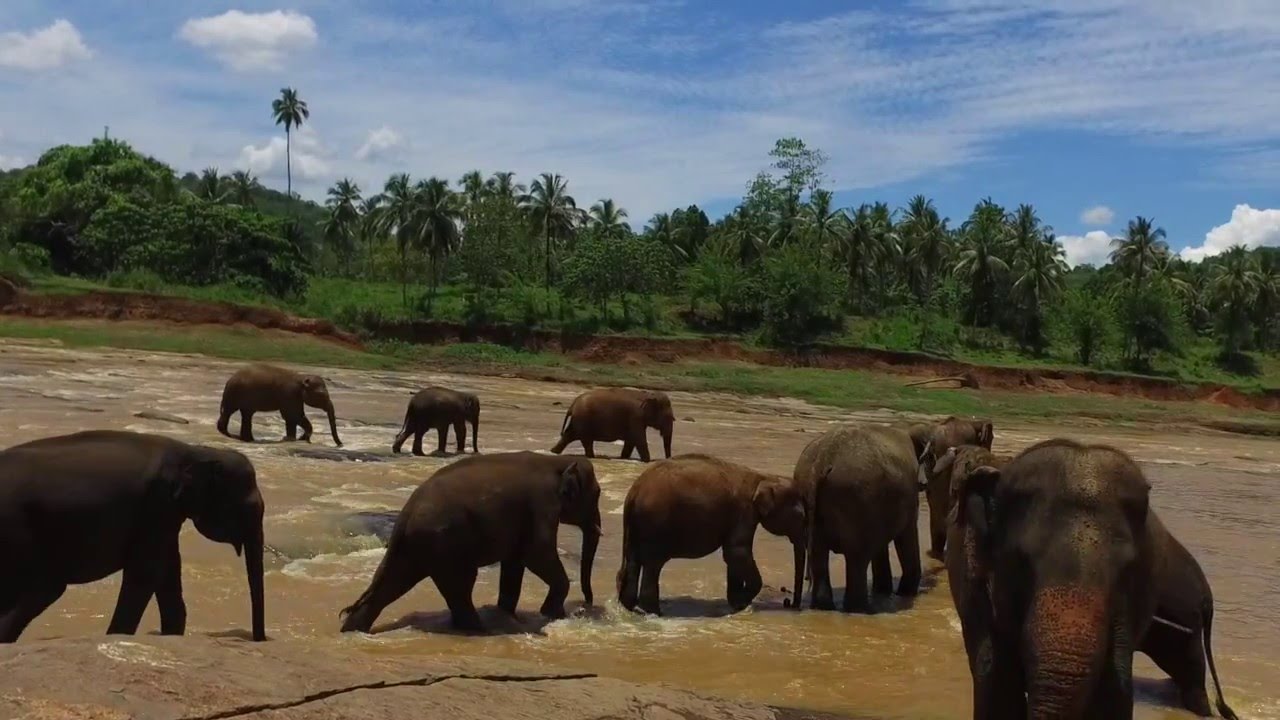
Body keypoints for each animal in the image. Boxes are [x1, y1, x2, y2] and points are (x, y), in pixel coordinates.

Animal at [0, 430, 265, 643]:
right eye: (248, 508)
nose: (257, 640)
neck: (195, 451)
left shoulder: (164, 516)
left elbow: (168, 570)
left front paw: (170, 636)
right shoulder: (156, 505)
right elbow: (146, 571)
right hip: (18, 532)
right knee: (45, 587)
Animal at [339, 451, 602, 633]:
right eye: (597, 494)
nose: (586, 605)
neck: (557, 461)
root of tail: (407, 512)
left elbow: (515, 562)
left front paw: (510, 614)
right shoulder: (542, 505)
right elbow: (536, 554)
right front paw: (551, 615)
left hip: (418, 546)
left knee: (393, 581)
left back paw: (351, 630)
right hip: (445, 544)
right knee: (460, 585)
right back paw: (481, 629)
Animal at [616, 454, 806, 615]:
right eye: (801, 516)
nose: (789, 603)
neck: (764, 477)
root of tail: (633, 492)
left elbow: (733, 557)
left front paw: (737, 605)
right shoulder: (744, 511)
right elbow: (737, 552)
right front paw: (742, 604)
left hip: (637, 528)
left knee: (634, 561)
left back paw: (631, 607)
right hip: (656, 524)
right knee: (653, 564)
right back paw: (655, 612)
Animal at [792, 425, 922, 613]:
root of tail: (823, 459)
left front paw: (885, 591)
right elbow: (907, 536)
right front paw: (905, 593)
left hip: (810, 494)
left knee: (819, 554)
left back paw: (824, 607)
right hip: (856, 497)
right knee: (858, 557)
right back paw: (862, 609)